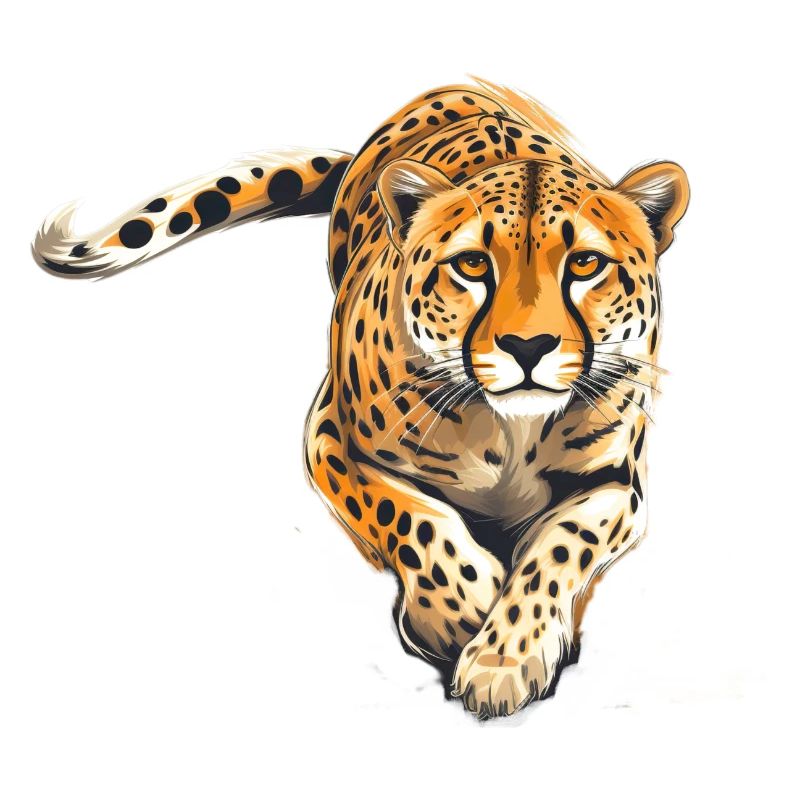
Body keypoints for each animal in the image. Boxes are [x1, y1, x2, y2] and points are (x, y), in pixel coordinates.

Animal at [32, 78, 689, 719]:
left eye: (586, 263)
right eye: (473, 264)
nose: (528, 346)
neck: (510, 431)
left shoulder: (615, 483)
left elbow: (558, 549)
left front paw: (503, 661)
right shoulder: (330, 437)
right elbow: (409, 515)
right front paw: (461, 613)